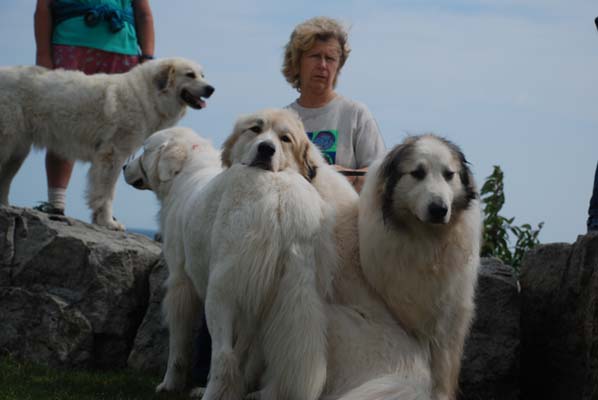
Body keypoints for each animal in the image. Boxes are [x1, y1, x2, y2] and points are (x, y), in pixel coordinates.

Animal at [0, 57, 216, 230]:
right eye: (190, 75)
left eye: (203, 75)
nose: (211, 89)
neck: (146, 96)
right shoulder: (112, 155)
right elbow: (106, 193)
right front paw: (107, 222)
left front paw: (101, 220)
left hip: (17, 152)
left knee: (5, 180)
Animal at [124, 108, 340, 400]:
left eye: (144, 150)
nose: (124, 167)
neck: (187, 171)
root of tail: (280, 194)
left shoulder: (181, 283)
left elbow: (178, 342)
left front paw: (169, 384)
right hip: (292, 293)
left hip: (221, 293)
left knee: (224, 357)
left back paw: (211, 392)